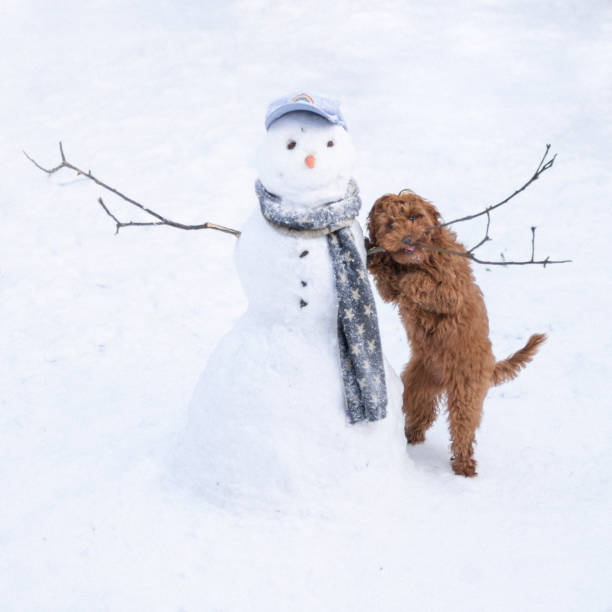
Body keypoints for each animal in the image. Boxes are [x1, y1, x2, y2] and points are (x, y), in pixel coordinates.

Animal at [366, 191, 548, 478]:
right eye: (390, 225)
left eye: (413, 217)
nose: (407, 240)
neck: (421, 259)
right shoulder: (391, 289)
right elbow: (389, 282)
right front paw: (377, 258)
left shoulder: (452, 288)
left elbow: (422, 283)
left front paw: (408, 278)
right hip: (417, 385)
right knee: (420, 413)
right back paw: (411, 436)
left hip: (466, 390)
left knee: (463, 428)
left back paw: (464, 465)